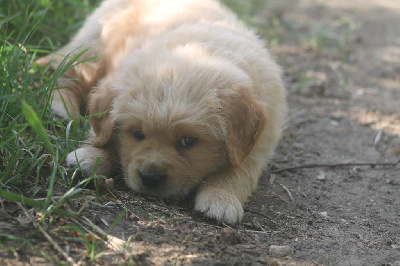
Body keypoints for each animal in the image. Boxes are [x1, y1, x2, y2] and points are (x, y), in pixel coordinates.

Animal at [39, 0, 288, 224]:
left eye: (188, 140)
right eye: (137, 134)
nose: (150, 178)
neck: (202, 49)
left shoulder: (256, 148)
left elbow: (237, 172)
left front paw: (221, 198)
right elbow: (103, 133)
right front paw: (93, 154)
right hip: (95, 45)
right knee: (66, 72)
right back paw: (60, 106)